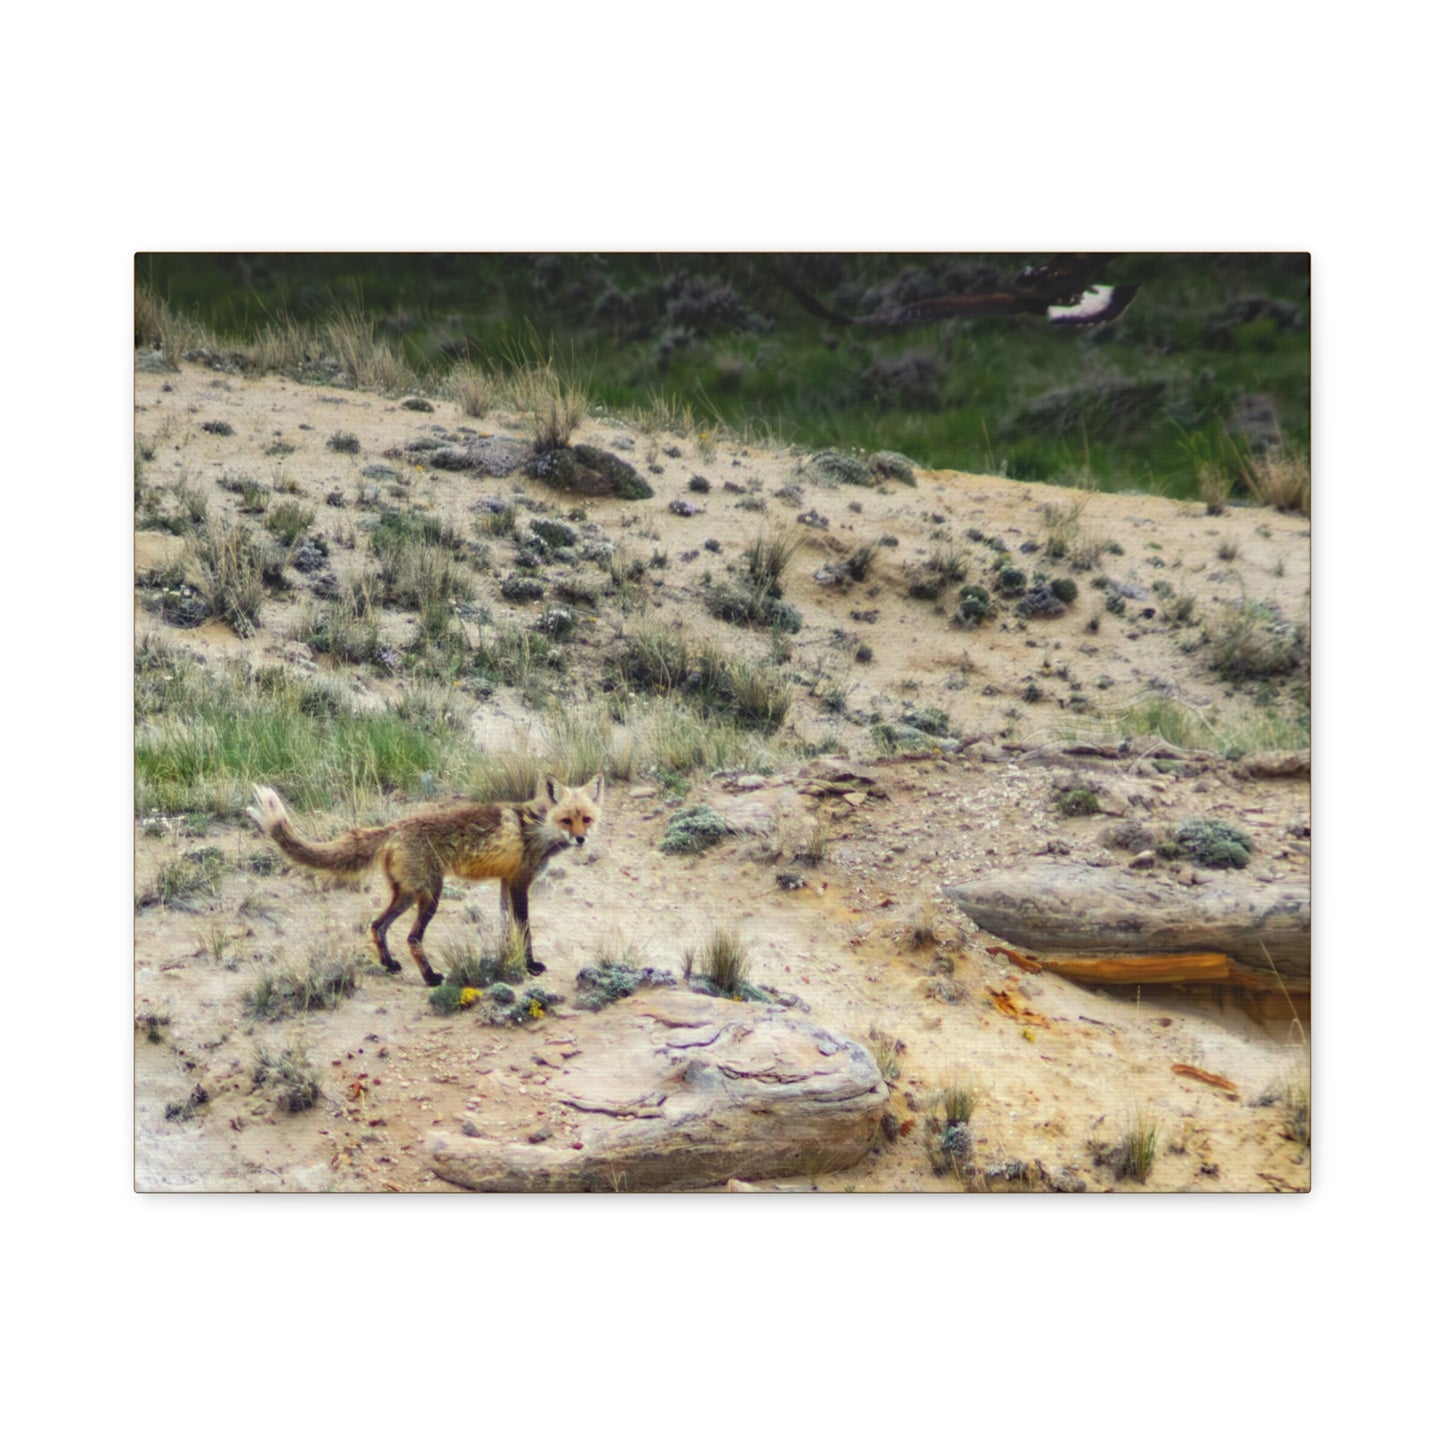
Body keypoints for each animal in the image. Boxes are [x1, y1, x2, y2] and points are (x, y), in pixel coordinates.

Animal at [246, 775, 604, 986]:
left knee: (377, 925)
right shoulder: (519, 883)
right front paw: (529, 966)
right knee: (412, 938)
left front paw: (508, 961)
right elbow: (524, 928)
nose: (581, 839)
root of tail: (394, 827)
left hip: (406, 895)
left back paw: (390, 965)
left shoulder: (506, 882)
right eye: (567, 819)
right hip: (432, 895)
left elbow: (507, 928)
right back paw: (430, 977)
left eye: (586, 819)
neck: (538, 828)